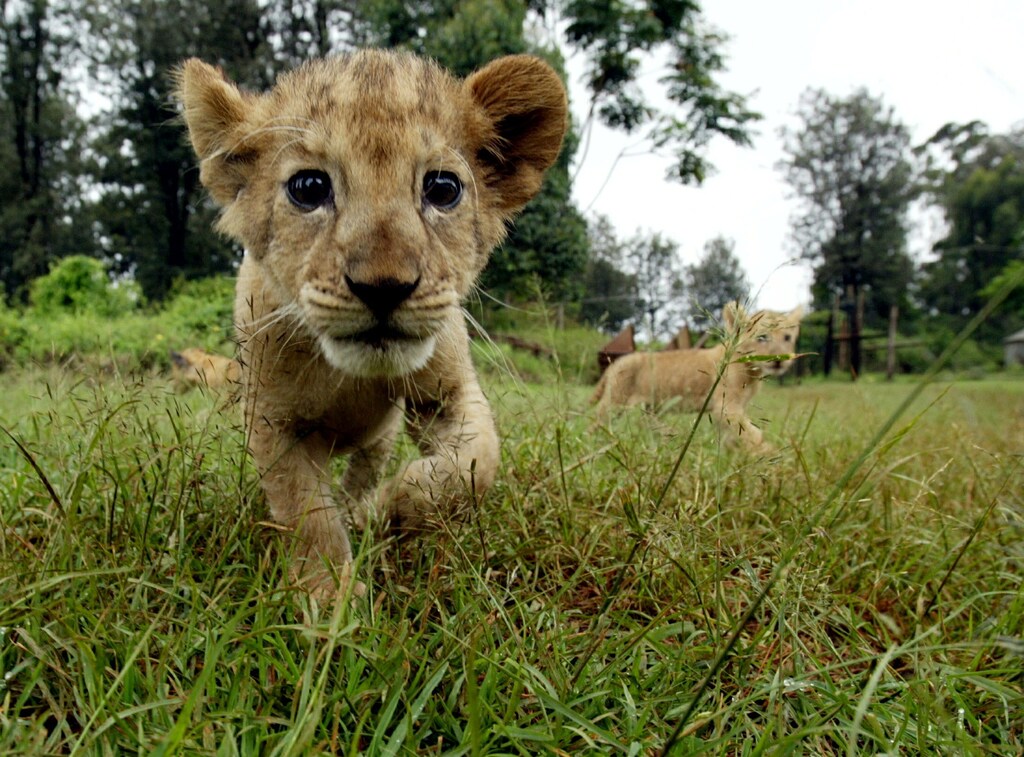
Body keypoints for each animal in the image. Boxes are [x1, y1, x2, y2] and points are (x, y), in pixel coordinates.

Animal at [175, 50, 567, 599]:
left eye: (443, 188)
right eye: (309, 187)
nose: (383, 286)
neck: (346, 374)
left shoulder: (447, 393)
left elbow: (473, 464)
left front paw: (393, 506)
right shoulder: (273, 421)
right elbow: (305, 512)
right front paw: (330, 597)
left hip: (380, 436)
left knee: (366, 466)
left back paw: (363, 507)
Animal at [591, 303, 803, 448]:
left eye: (787, 338)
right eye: (762, 337)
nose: (779, 359)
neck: (752, 370)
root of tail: (615, 364)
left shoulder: (733, 410)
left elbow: (735, 436)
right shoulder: (726, 408)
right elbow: (753, 434)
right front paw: (769, 455)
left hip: (650, 406)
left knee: (646, 422)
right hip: (615, 401)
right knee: (597, 422)